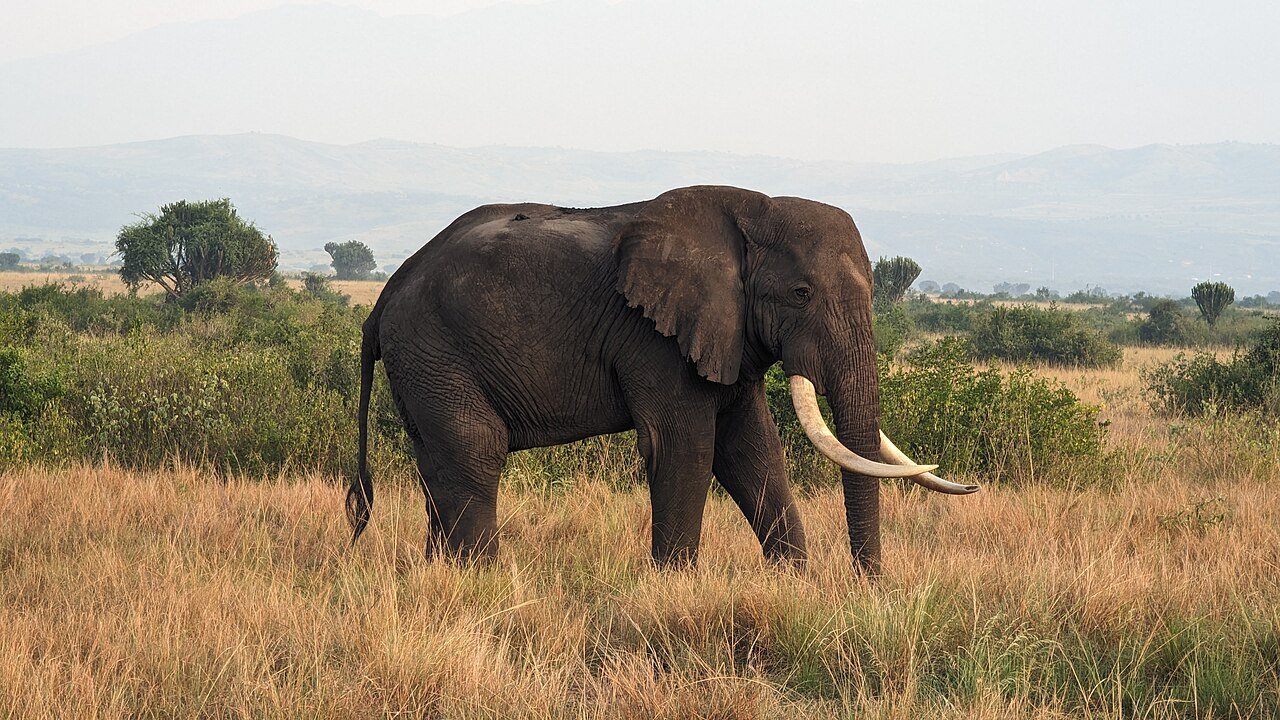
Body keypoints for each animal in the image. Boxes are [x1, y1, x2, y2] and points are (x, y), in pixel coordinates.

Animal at [345, 185, 977, 573]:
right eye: (801, 294)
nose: (868, 585)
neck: (755, 209)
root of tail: (384, 300)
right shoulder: (655, 338)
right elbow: (685, 446)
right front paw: (676, 587)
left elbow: (752, 449)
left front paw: (796, 583)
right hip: (436, 350)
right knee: (474, 453)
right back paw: (484, 582)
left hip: (424, 364)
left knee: (438, 464)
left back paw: (441, 575)